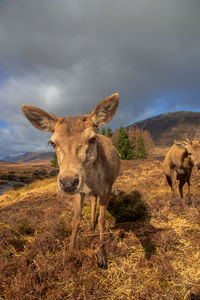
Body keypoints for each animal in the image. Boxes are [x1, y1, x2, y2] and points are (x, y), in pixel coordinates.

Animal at [21, 92, 120, 268]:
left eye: (92, 139)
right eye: (52, 142)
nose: (68, 182)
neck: (93, 182)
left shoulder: (107, 188)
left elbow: (102, 219)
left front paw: (102, 256)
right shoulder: (79, 192)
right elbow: (76, 218)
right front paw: (69, 253)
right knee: (92, 200)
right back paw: (91, 225)